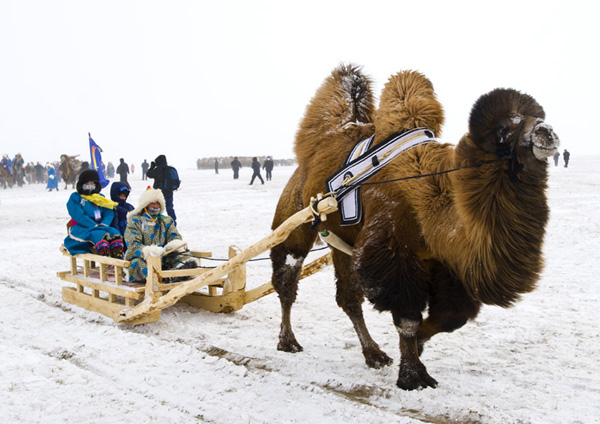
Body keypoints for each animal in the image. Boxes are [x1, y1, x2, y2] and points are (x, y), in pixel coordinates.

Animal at [270, 63, 560, 390]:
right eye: (503, 130)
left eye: (538, 118)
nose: (546, 131)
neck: (432, 196)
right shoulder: (392, 248)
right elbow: (408, 317)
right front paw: (413, 375)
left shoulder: (440, 260)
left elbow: (453, 316)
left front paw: (418, 348)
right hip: (294, 221)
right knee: (287, 278)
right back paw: (288, 341)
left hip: (341, 243)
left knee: (348, 298)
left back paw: (374, 355)